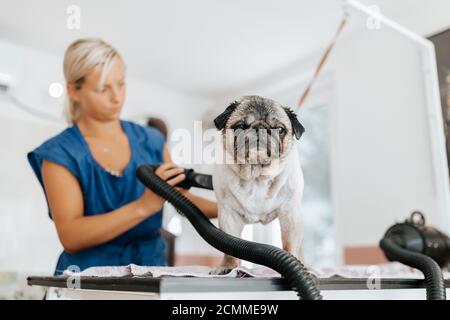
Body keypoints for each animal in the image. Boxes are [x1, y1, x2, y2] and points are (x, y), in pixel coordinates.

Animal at [212, 95, 306, 276]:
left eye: (280, 129)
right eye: (240, 127)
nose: (260, 129)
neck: (257, 177)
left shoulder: (290, 213)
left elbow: (290, 245)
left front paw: (294, 265)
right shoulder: (228, 214)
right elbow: (229, 247)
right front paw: (229, 267)